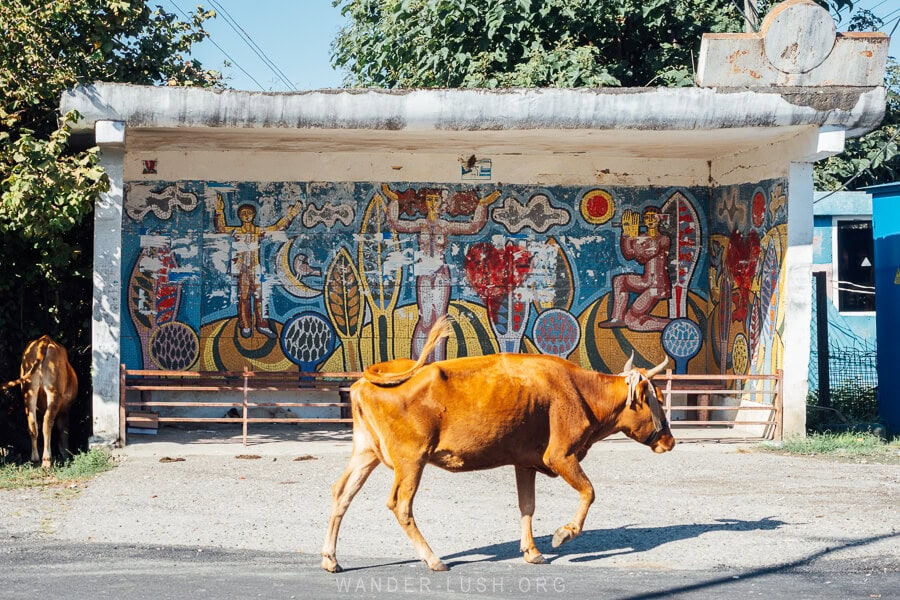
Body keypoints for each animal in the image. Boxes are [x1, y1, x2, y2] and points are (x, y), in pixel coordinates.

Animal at [0, 332, 77, 468]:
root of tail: (44, 340)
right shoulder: (65, 410)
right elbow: (64, 431)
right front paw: (66, 455)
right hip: (53, 392)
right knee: (47, 422)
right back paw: (46, 461)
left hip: (29, 390)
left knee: (32, 424)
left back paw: (35, 459)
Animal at [320, 314, 672, 572]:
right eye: (655, 398)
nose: (669, 440)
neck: (581, 391)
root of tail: (373, 376)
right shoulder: (561, 455)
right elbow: (589, 492)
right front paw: (563, 534)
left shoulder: (526, 461)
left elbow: (527, 506)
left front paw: (531, 551)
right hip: (410, 459)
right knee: (400, 504)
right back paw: (433, 558)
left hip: (366, 451)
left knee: (341, 493)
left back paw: (330, 558)